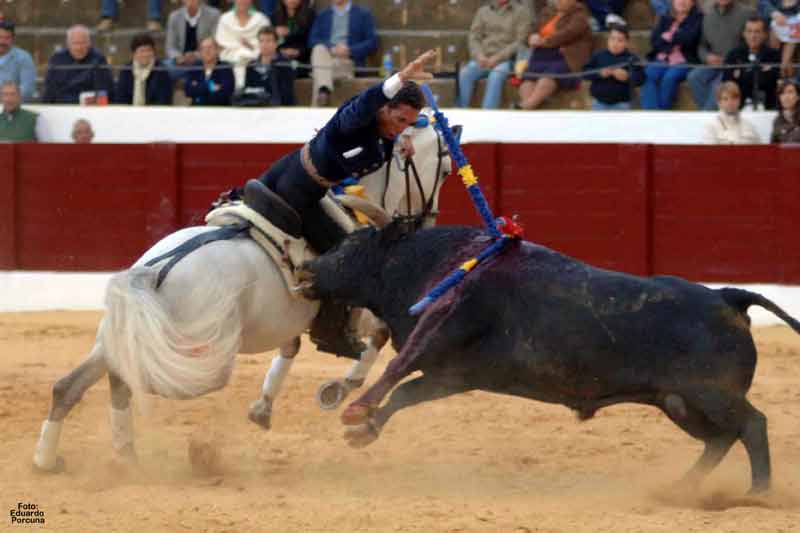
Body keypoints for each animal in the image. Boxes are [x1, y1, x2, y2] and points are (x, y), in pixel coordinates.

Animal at [34, 119, 454, 470]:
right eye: (446, 169)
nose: (429, 219)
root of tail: (153, 272)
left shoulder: (294, 319)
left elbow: (291, 349)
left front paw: (263, 408)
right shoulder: (363, 302)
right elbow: (377, 336)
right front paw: (337, 389)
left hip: (120, 336)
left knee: (70, 385)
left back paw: (60, 459)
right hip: (202, 358)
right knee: (134, 379)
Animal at [302, 222, 800, 492]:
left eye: (348, 247)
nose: (306, 268)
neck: (428, 261)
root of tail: (726, 297)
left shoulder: (442, 338)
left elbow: (398, 369)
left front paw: (357, 414)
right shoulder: (453, 375)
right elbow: (407, 394)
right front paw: (364, 431)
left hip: (711, 394)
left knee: (752, 425)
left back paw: (758, 491)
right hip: (678, 402)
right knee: (721, 438)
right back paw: (684, 486)